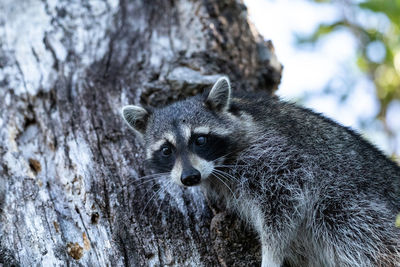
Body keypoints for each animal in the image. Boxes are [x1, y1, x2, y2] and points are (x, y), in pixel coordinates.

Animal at [122, 76, 400, 266]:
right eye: (166, 150)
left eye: (200, 140)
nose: (190, 177)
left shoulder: (275, 156)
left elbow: (285, 203)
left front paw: (272, 255)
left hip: (353, 202)